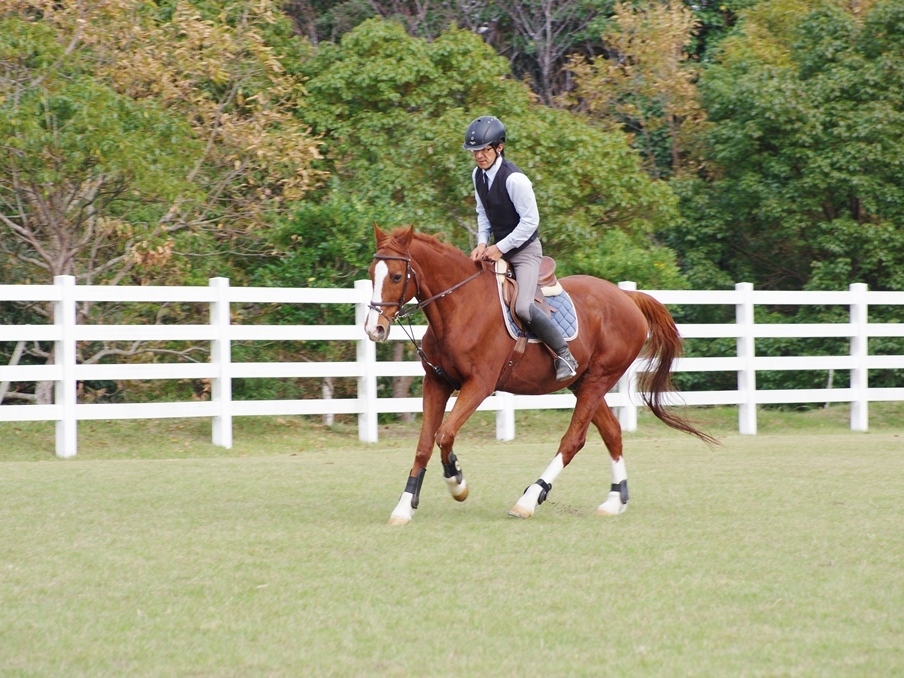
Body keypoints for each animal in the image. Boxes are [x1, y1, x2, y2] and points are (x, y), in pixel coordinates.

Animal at [364, 226, 716, 528]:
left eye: (396, 276)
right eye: (371, 274)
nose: (374, 329)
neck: (460, 307)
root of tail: (626, 298)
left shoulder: (479, 386)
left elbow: (445, 434)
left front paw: (457, 482)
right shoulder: (437, 383)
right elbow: (425, 443)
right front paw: (404, 507)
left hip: (597, 381)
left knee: (573, 441)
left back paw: (529, 500)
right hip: (583, 384)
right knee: (612, 433)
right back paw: (615, 501)